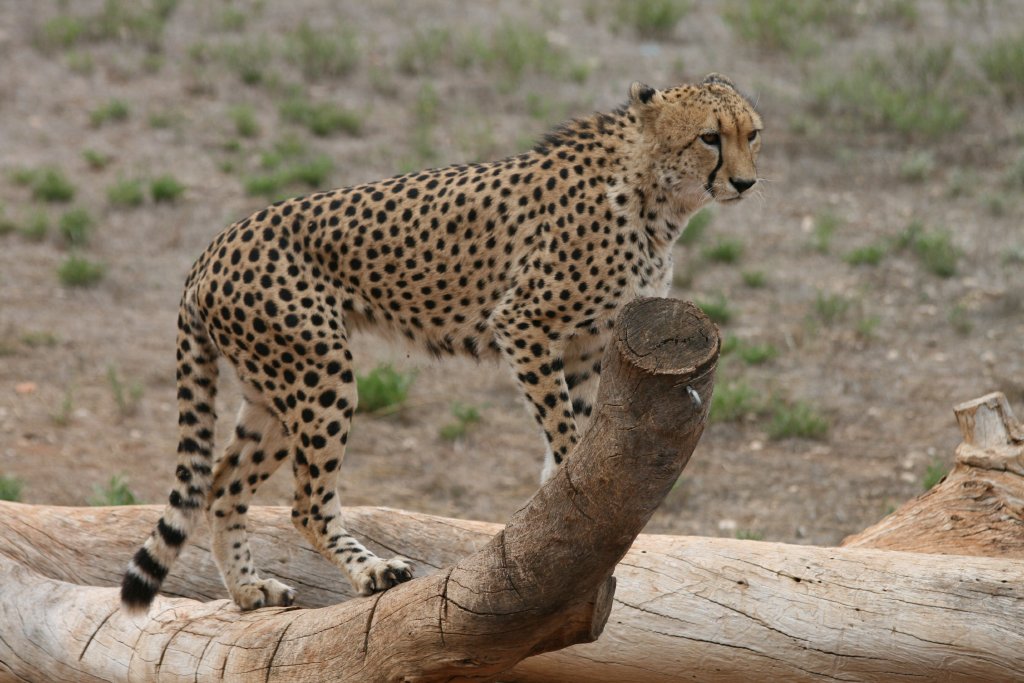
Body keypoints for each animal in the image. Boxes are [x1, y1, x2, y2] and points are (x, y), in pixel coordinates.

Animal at [121, 73, 762, 612]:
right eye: (709, 137)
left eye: (751, 134)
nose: (746, 181)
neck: (653, 190)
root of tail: (215, 245)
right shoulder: (524, 322)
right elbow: (563, 429)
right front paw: (570, 500)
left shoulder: (587, 345)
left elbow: (570, 430)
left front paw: (557, 513)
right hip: (320, 374)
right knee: (305, 503)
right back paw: (370, 572)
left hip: (272, 392)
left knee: (222, 485)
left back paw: (249, 590)